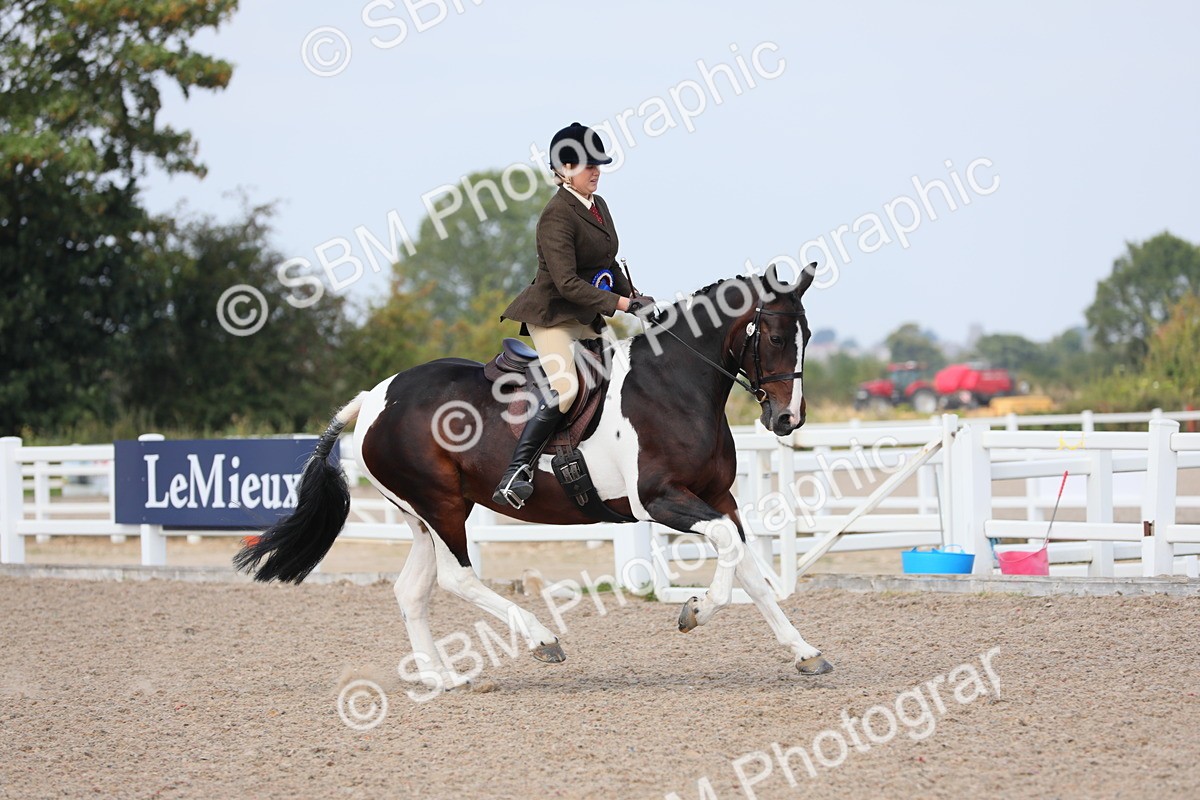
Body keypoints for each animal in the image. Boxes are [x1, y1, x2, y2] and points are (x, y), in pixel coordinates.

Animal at [234, 263, 833, 692]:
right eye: (775, 337)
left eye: (807, 334)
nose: (789, 419)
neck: (674, 386)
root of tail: (375, 396)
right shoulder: (660, 500)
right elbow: (729, 552)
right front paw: (694, 611)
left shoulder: (718, 497)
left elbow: (748, 567)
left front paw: (805, 653)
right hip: (441, 506)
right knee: (456, 578)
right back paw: (543, 639)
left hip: (425, 516)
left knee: (412, 590)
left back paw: (441, 677)